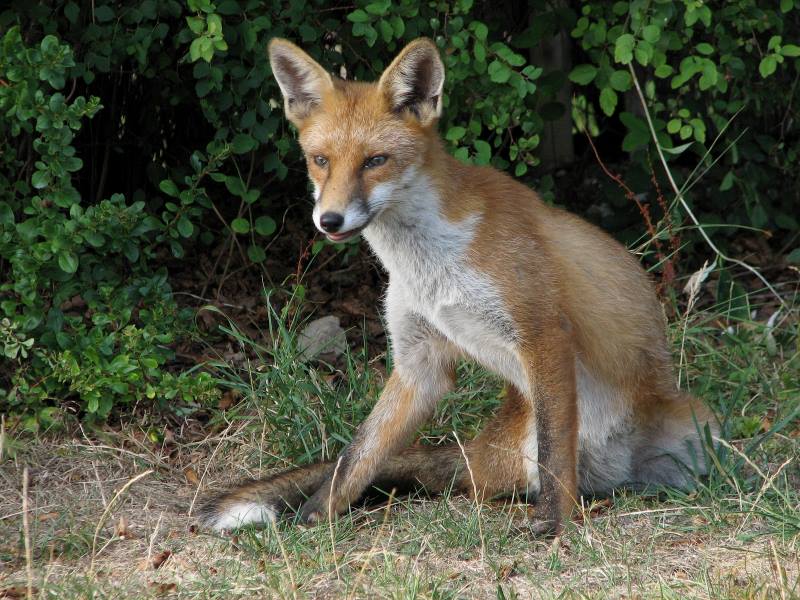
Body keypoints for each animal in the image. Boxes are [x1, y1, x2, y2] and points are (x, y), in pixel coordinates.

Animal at [195, 37, 720, 536]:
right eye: (320, 160)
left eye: (375, 161)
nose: (329, 220)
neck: (429, 263)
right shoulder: (419, 362)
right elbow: (355, 457)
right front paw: (315, 517)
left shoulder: (543, 332)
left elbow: (554, 450)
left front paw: (554, 525)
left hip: (701, 429)